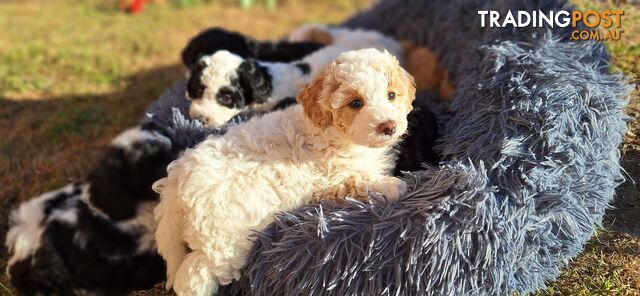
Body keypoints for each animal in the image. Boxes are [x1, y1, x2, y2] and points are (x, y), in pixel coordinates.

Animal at [153, 47, 418, 294]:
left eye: (391, 95)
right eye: (355, 103)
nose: (388, 126)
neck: (336, 135)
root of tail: (175, 184)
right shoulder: (328, 179)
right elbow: (357, 181)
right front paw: (393, 186)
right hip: (222, 239)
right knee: (193, 276)